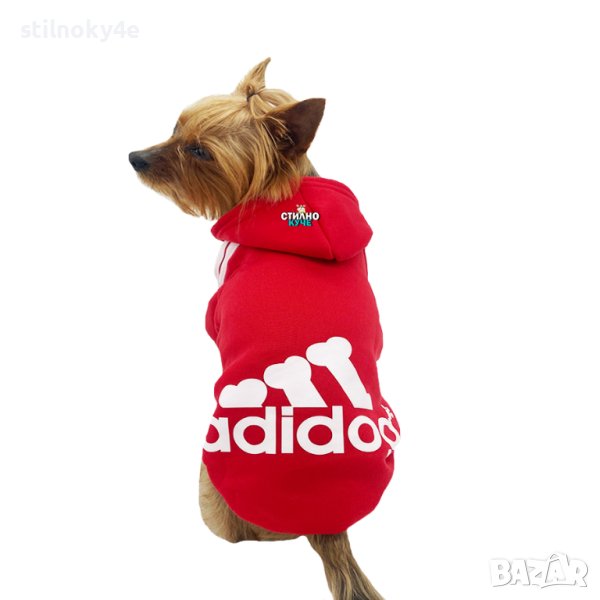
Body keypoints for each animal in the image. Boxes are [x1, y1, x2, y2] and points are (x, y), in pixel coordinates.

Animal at [129, 58, 399, 600]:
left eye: (200, 152)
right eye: (176, 127)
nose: (135, 158)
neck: (286, 202)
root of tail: (326, 525)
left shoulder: (215, 306)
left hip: (209, 486)